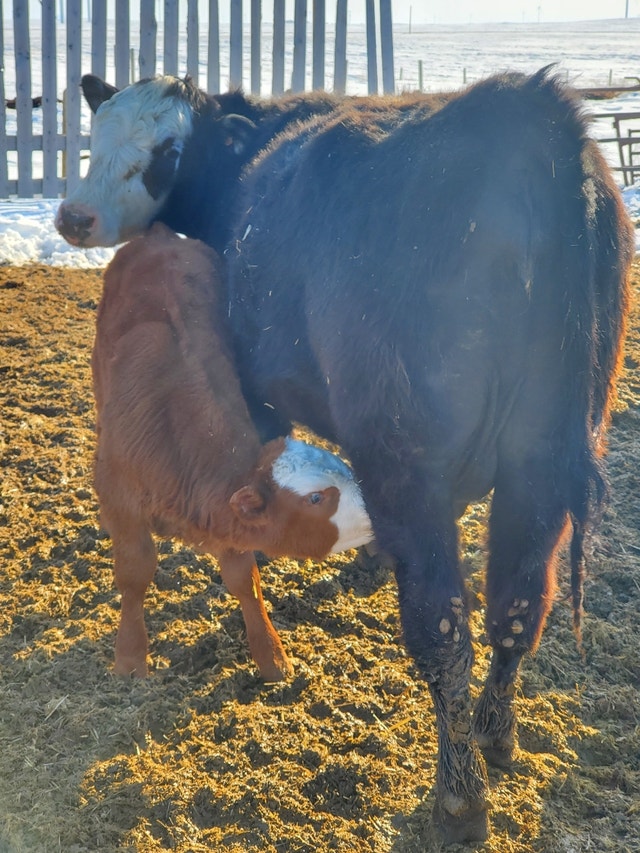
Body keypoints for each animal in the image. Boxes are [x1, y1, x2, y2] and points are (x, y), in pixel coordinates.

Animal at [92, 222, 372, 682]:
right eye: (316, 498)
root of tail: (161, 234)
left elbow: (244, 579)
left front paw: (271, 654)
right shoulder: (119, 496)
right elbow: (134, 572)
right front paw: (130, 657)